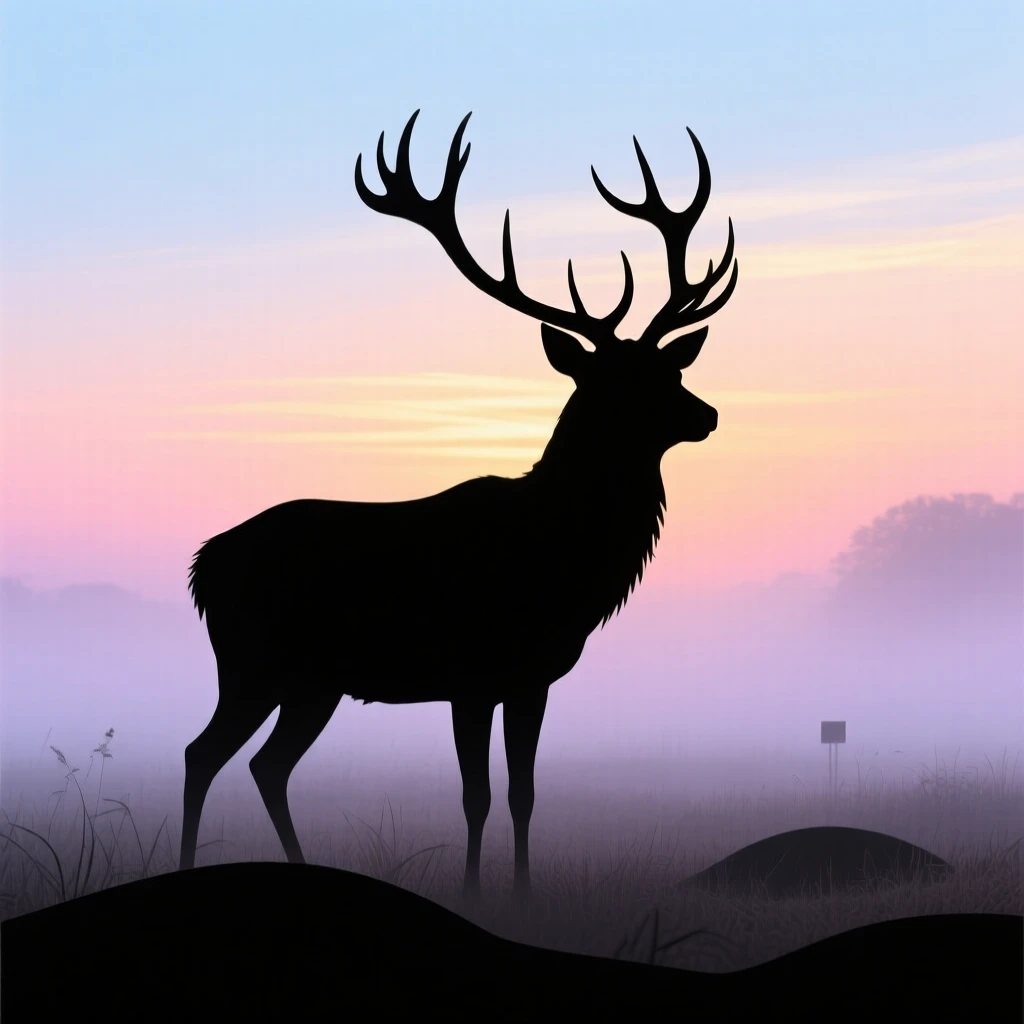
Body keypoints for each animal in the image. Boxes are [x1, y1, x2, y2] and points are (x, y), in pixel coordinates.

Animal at [179, 110, 738, 906]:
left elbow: (524, 794)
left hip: (313, 682)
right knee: (203, 754)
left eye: (670, 367)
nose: (708, 414)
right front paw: (474, 892)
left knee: (266, 764)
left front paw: (524, 893)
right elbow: (475, 795)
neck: (561, 562)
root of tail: (203, 564)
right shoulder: (469, 675)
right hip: (252, 661)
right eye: (618, 381)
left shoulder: (531, 678)